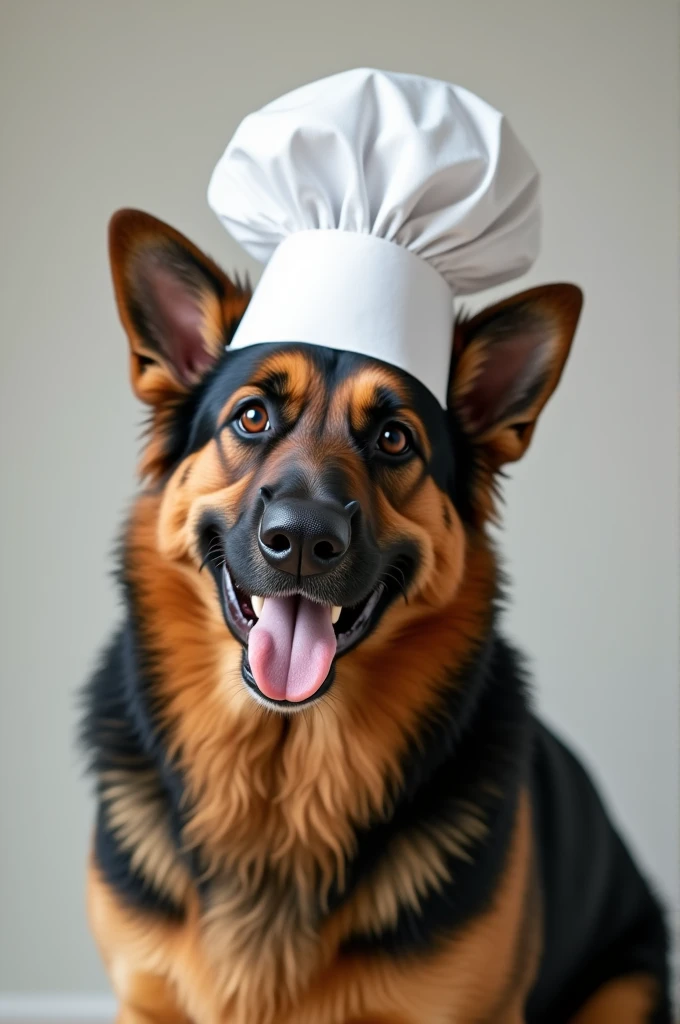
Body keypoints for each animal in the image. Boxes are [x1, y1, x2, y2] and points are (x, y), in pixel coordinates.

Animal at [82, 209, 671, 1024]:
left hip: (625, 988)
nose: (302, 540)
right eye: (253, 417)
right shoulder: (147, 1003)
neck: (283, 781)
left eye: (394, 438)